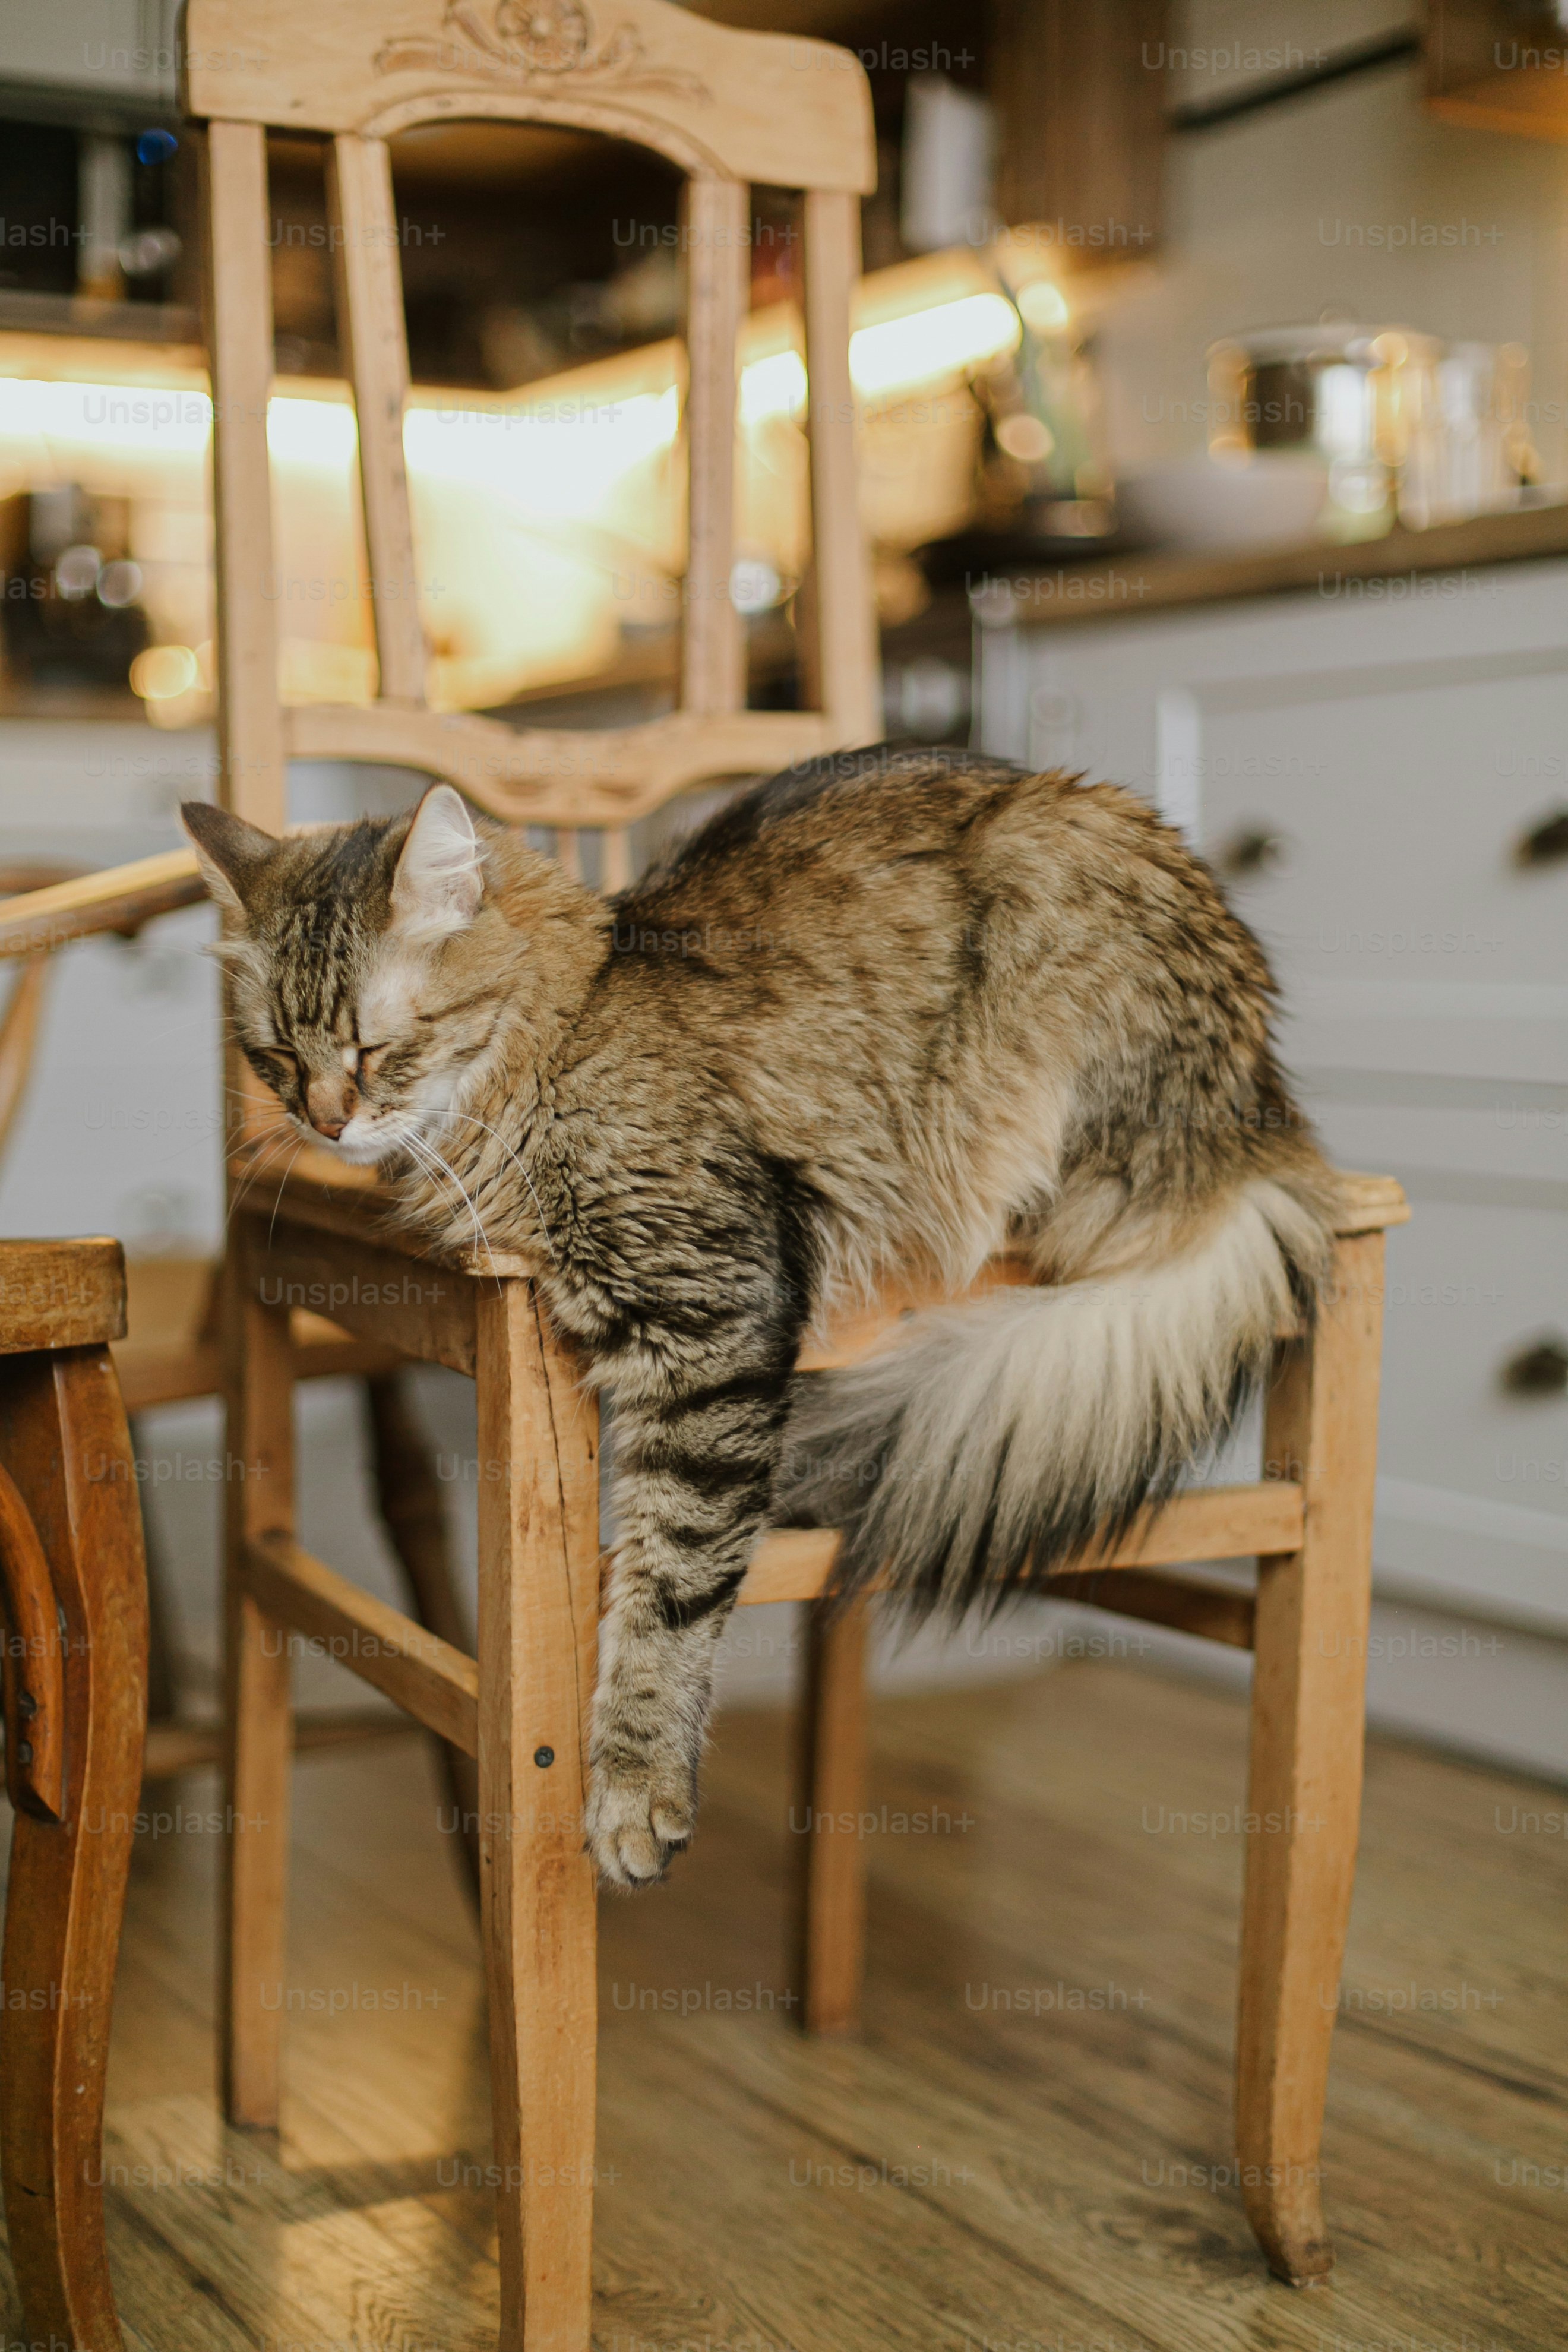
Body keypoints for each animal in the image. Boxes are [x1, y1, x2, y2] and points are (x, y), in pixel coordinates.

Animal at [184, 743, 1335, 1882]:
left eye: (375, 1050)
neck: (554, 1047)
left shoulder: (708, 1321)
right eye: (277, 1058)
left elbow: (670, 1585)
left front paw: (635, 1792)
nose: (325, 1125)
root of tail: (1266, 1127)